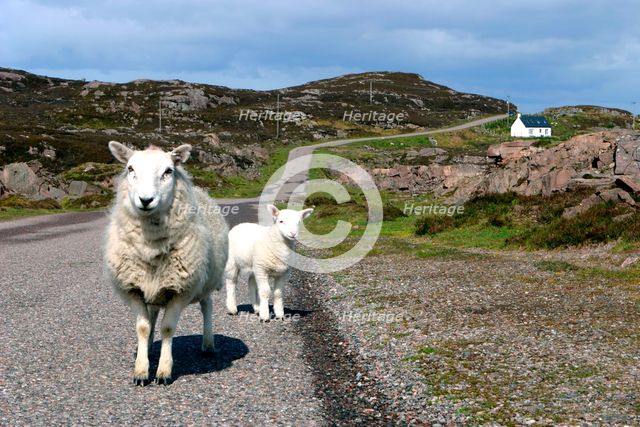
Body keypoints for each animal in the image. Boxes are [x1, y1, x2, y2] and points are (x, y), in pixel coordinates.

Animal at [104, 141, 228, 385]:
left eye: (168, 171)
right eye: (130, 169)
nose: (145, 200)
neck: (151, 245)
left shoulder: (180, 289)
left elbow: (168, 328)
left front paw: (163, 371)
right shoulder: (134, 288)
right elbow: (142, 327)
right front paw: (141, 370)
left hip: (204, 281)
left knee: (206, 306)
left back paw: (208, 344)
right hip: (153, 286)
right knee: (152, 314)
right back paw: (150, 347)